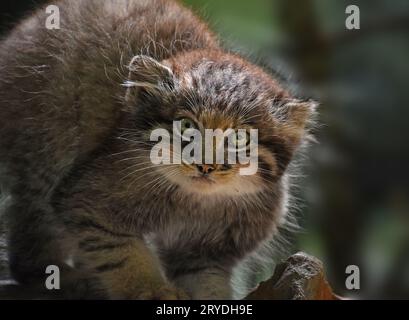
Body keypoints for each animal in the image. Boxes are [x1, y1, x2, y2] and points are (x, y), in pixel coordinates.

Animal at [0, 0, 316, 300]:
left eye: (239, 139)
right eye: (187, 126)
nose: (206, 166)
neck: (194, 203)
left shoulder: (206, 253)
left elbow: (207, 281)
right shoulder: (86, 201)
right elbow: (124, 255)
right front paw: (151, 289)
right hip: (44, 148)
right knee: (29, 238)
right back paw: (60, 276)